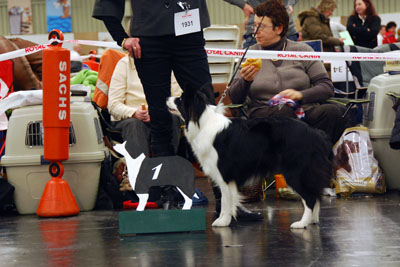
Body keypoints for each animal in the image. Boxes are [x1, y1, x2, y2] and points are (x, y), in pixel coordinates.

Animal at [167, 85, 332, 228]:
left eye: (179, 100)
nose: (167, 97)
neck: (202, 121)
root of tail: (317, 133)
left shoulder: (224, 175)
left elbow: (226, 200)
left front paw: (223, 221)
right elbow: (226, 199)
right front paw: (224, 219)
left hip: (296, 172)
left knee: (310, 198)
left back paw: (302, 223)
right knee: (315, 195)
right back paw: (312, 220)